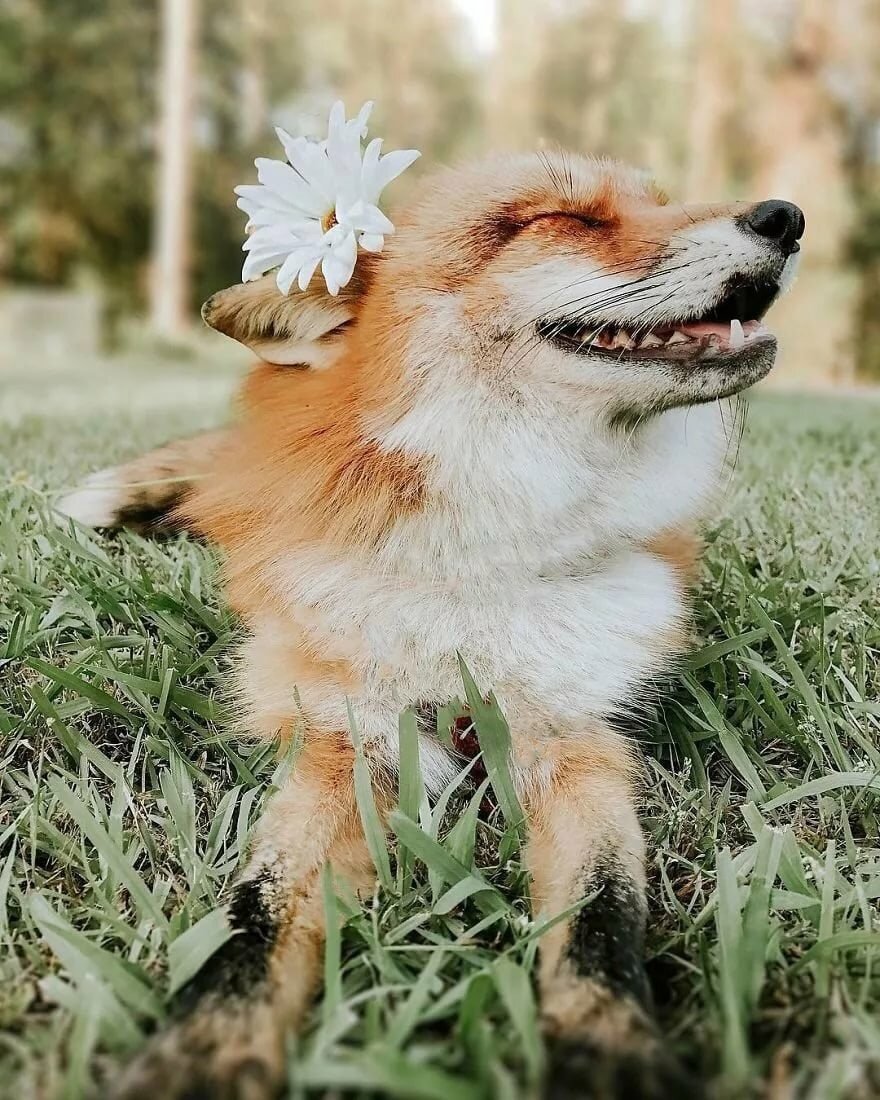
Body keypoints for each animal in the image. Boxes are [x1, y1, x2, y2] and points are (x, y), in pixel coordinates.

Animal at [58, 151, 804, 1099]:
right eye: (562, 219)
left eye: (658, 202)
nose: (786, 217)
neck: (474, 586)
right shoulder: (343, 738)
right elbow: (256, 914)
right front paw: (204, 1049)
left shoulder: (577, 736)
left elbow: (603, 914)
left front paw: (609, 1048)